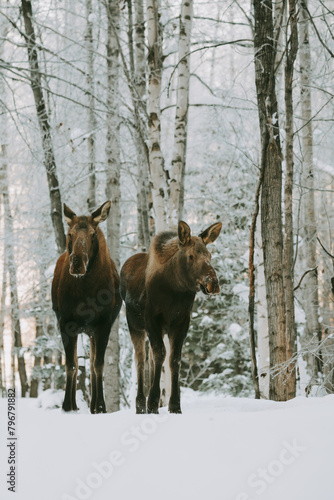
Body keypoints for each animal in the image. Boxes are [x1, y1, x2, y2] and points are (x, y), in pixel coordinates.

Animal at [51, 200, 121, 414]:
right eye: (69, 234)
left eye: (92, 234)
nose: (77, 264)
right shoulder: (66, 322)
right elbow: (71, 365)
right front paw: (67, 405)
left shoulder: (103, 324)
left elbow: (98, 365)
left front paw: (101, 406)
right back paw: (76, 404)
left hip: (92, 331)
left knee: (91, 365)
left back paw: (94, 405)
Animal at [120, 220, 222, 414]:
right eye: (191, 256)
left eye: (209, 255)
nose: (213, 284)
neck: (175, 290)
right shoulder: (152, 319)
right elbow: (160, 354)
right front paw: (153, 403)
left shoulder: (181, 321)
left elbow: (174, 359)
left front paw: (174, 405)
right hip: (134, 324)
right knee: (140, 359)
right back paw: (141, 404)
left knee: (151, 357)